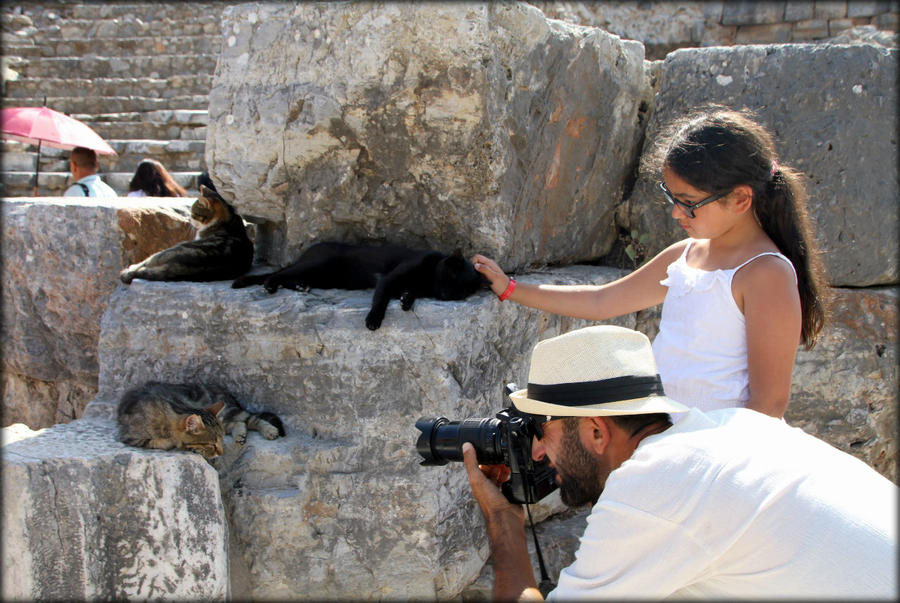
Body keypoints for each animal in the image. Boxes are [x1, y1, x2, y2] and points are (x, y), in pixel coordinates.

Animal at [117, 382, 284, 458]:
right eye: (212, 443)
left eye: (220, 441)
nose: (221, 453)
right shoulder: (131, 437)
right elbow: (158, 442)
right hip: (224, 417)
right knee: (239, 423)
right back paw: (240, 435)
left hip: (226, 411)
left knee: (250, 418)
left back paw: (270, 430)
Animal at [229, 241, 488, 330]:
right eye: (450, 276)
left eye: (463, 291)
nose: (447, 294)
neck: (429, 280)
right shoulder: (388, 278)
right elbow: (381, 297)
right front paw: (373, 320)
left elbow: (409, 292)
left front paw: (406, 300)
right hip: (319, 263)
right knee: (278, 273)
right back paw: (271, 285)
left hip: (324, 277)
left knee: (291, 276)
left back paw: (301, 286)